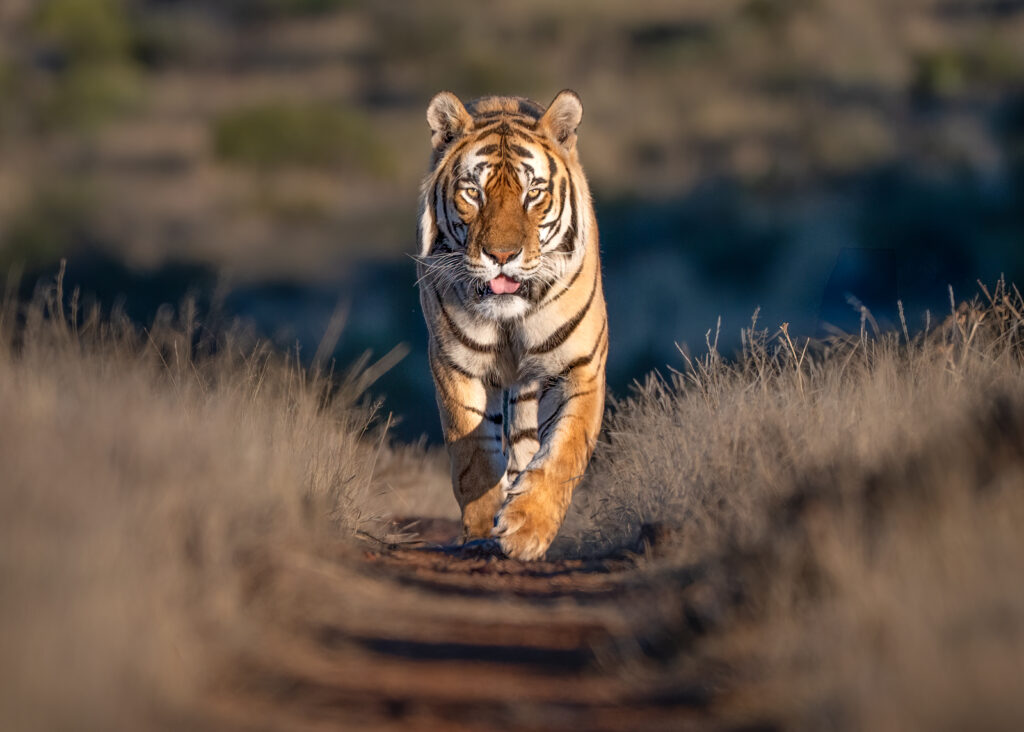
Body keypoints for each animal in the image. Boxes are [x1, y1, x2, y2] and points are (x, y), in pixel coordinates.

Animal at [415, 90, 608, 560]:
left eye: (533, 193)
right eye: (473, 192)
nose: (501, 256)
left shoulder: (580, 366)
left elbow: (564, 450)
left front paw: (526, 528)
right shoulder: (455, 364)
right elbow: (474, 456)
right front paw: (483, 530)